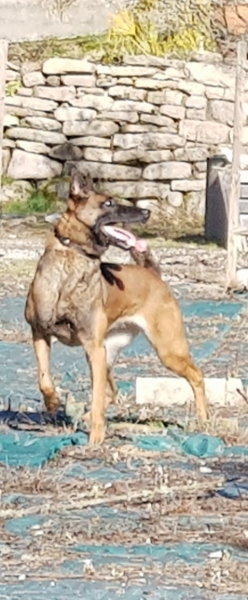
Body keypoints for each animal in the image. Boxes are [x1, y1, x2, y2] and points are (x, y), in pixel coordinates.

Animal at [25, 169, 208, 446]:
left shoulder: (93, 347)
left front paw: (95, 440)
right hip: (107, 352)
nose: (146, 212)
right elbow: (44, 379)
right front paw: (53, 402)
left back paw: (204, 419)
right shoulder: (40, 334)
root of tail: (152, 274)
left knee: (196, 376)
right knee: (111, 390)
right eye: (108, 203)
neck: (72, 260)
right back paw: (85, 417)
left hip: (164, 350)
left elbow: (97, 397)